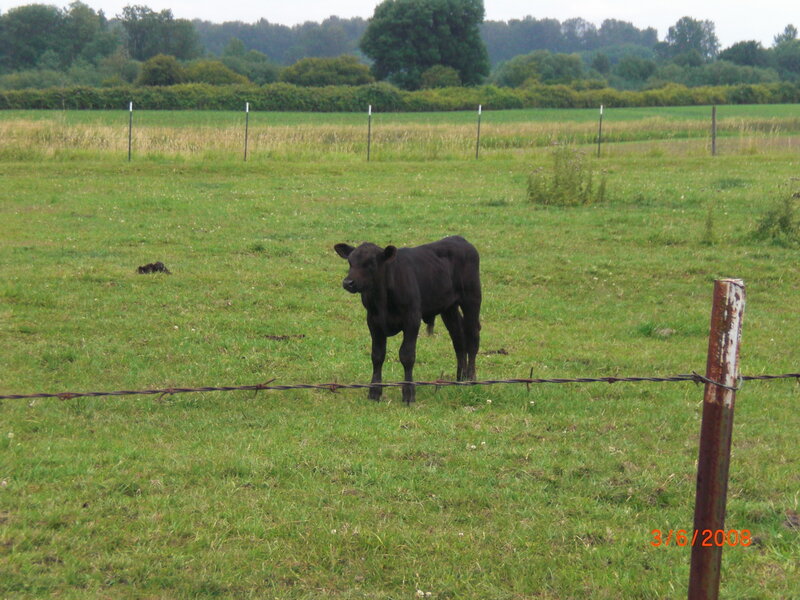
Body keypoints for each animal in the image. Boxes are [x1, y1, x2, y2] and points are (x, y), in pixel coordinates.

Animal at [334, 236, 481, 404]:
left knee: (473, 338)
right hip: (449, 307)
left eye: (371, 263)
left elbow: (407, 355)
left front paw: (408, 392)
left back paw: (471, 379)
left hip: (472, 298)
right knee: (458, 339)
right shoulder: (373, 321)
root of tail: (460, 239)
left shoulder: (412, 318)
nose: (348, 282)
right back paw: (460, 379)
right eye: (350, 262)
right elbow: (377, 355)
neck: (382, 299)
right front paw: (374, 392)